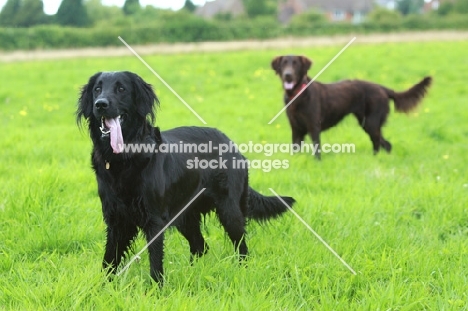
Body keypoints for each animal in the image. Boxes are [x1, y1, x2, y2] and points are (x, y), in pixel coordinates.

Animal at [77, 71, 296, 286]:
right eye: (97, 89)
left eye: (121, 88)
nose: (100, 104)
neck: (123, 159)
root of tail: (231, 144)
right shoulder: (116, 218)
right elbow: (109, 259)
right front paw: (103, 287)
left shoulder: (154, 219)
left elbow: (155, 260)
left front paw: (156, 289)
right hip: (186, 215)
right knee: (200, 246)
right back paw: (193, 273)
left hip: (229, 209)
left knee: (241, 245)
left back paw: (242, 271)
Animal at [272, 54, 434, 160]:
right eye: (284, 64)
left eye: (296, 64)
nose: (288, 75)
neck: (298, 94)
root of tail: (382, 88)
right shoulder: (296, 128)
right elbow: (295, 149)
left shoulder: (314, 126)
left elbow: (317, 149)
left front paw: (317, 162)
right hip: (367, 123)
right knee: (384, 144)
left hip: (371, 122)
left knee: (380, 143)